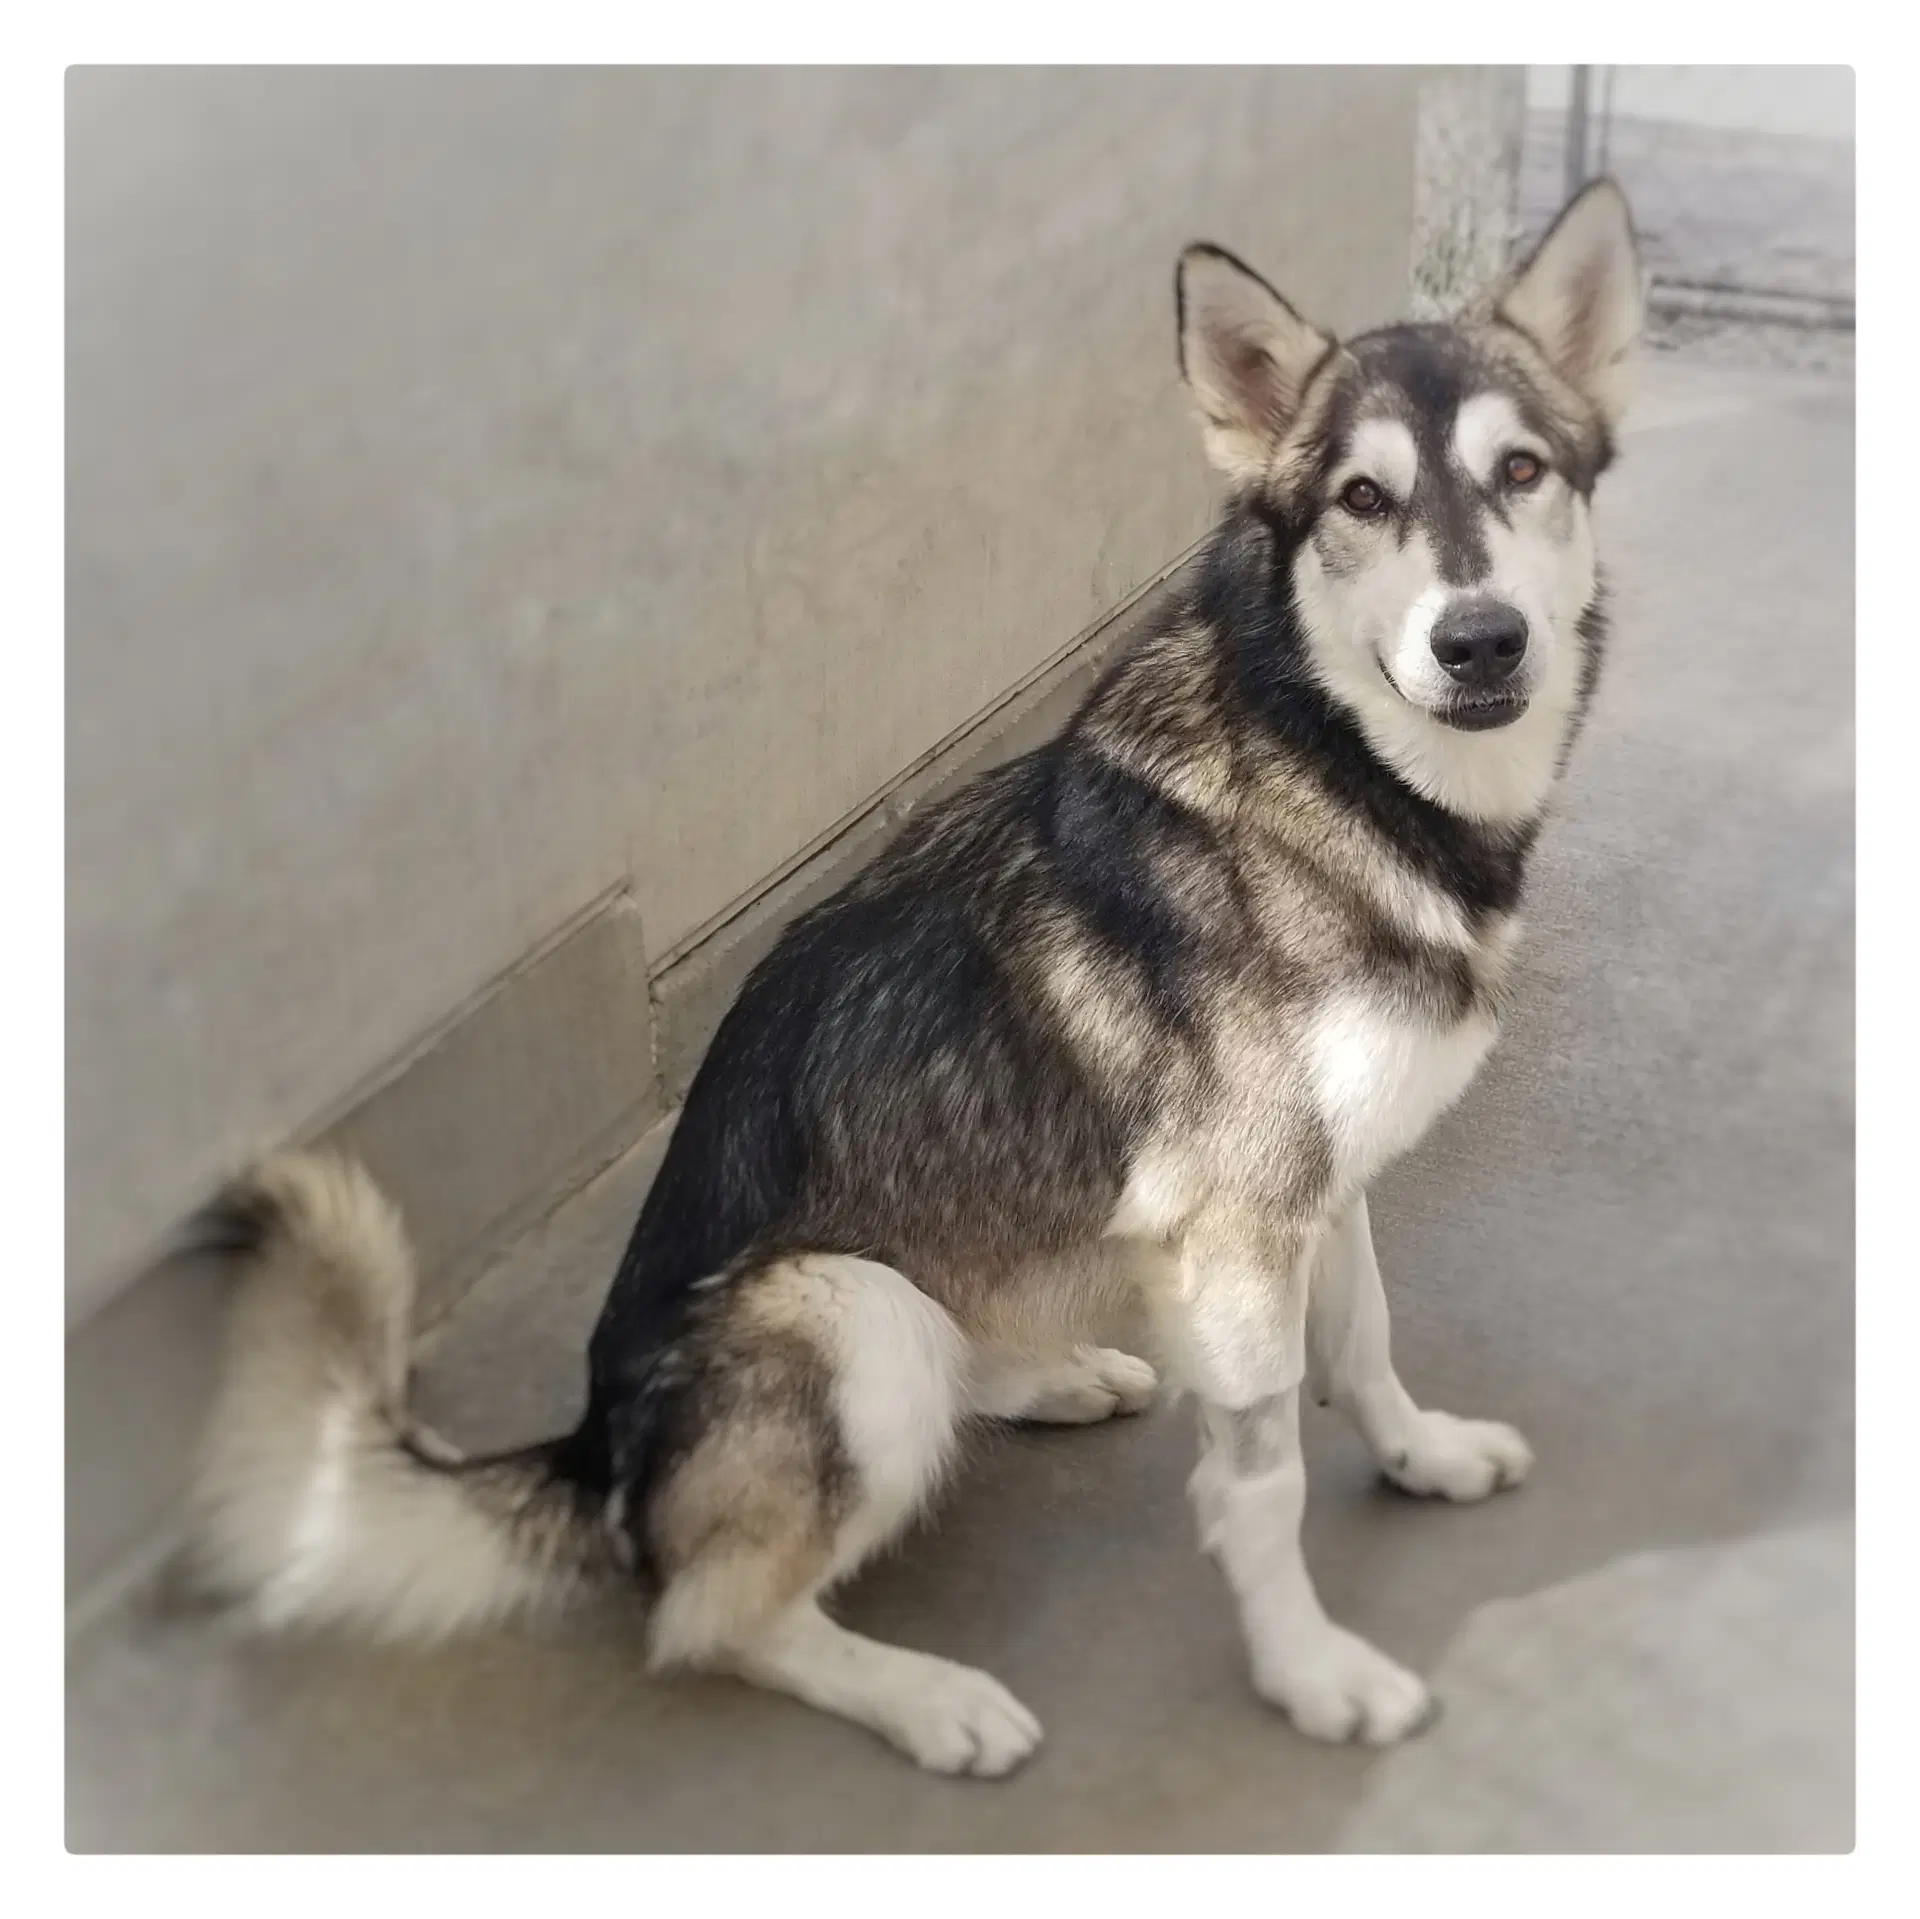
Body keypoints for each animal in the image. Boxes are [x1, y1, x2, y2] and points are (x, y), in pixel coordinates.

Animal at [185, 180, 1643, 1777]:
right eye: (1361, 502)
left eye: (1523, 471)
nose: (1480, 639)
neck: (1333, 759)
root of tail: (594, 1452)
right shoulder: (1245, 1226)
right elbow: (1260, 1485)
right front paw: (1310, 1670)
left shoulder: (1318, 1188)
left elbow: (1368, 1338)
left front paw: (1421, 1452)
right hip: (847, 1308)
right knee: (709, 1615)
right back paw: (926, 1694)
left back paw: (1050, 1372)